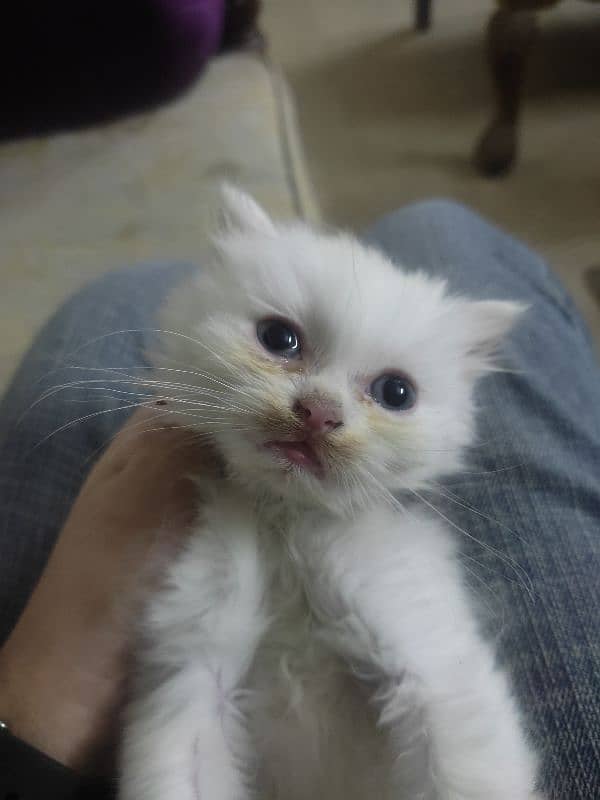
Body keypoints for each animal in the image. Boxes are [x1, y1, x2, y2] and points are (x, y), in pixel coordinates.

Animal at [119, 188, 540, 800]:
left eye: (396, 393)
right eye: (279, 339)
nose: (320, 413)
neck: (287, 523)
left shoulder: (434, 670)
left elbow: (465, 775)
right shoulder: (194, 673)